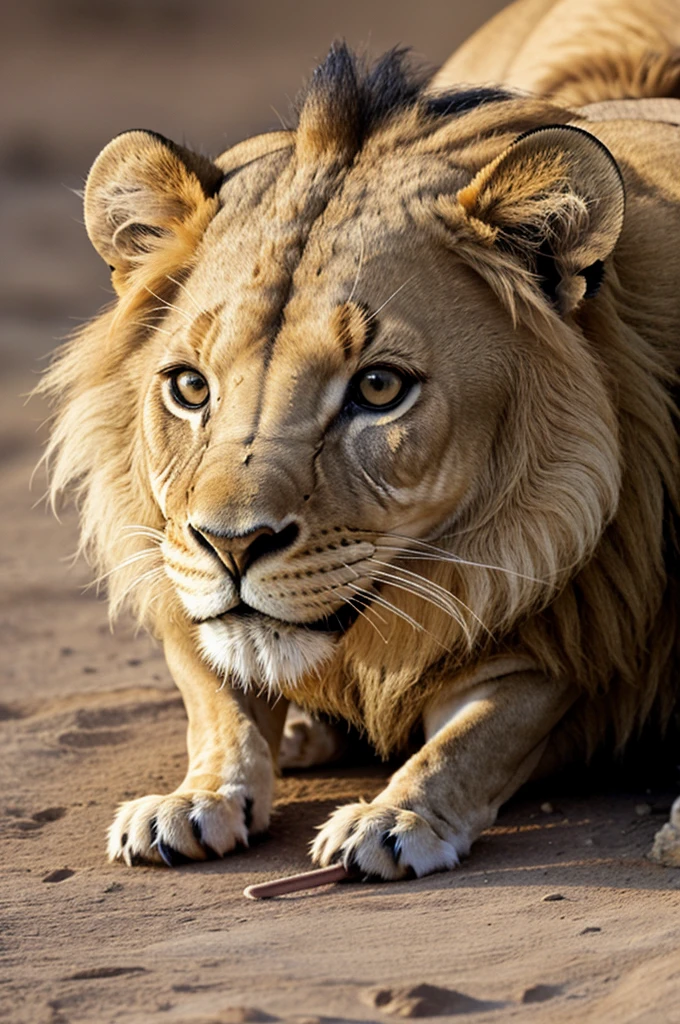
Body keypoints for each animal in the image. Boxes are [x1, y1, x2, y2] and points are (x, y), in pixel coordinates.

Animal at [38, 0, 680, 880]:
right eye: (190, 388)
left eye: (378, 388)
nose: (231, 547)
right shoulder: (180, 579)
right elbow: (216, 698)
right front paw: (193, 798)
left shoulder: (566, 637)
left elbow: (474, 737)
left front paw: (394, 817)